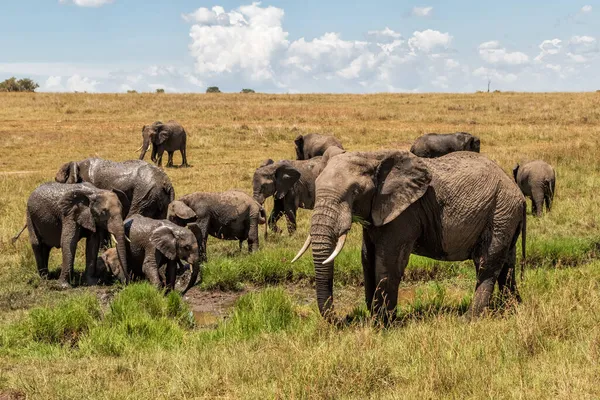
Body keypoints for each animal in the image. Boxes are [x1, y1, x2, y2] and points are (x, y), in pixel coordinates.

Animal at [294, 150, 524, 322]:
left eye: (355, 191)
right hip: (506, 216)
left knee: (487, 264)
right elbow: (367, 258)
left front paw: (383, 324)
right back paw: (512, 310)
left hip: (500, 212)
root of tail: (519, 194)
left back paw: (469, 319)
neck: (373, 156)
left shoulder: (405, 213)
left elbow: (387, 263)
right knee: (506, 265)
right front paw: (375, 317)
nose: (345, 318)